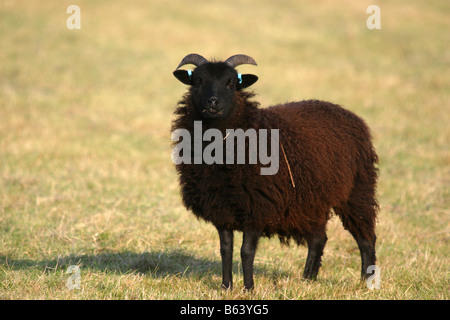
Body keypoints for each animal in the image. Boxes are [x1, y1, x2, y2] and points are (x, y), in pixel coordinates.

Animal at [171, 53, 378, 290]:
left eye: (231, 82)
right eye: (197, 81)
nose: (213, 102)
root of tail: (349, 114)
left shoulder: (256, 206)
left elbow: (246, 252)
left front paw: (249, 288)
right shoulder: (221, 207)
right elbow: (225, 250)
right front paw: (226, 287)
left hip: (357, 190)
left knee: (366, 238)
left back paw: (366, 281)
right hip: (312, 198)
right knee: (318, 239)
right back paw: (307, 279)